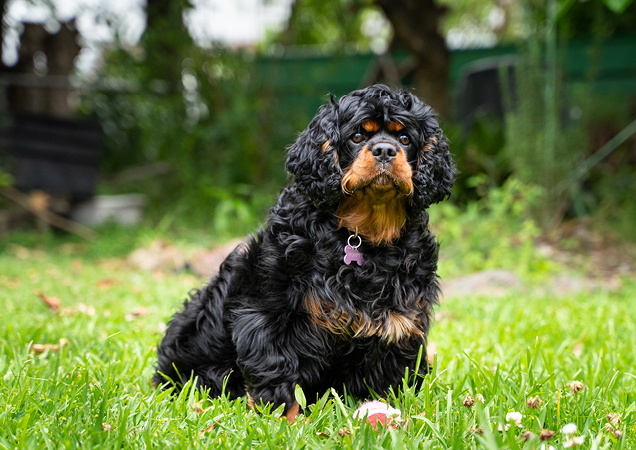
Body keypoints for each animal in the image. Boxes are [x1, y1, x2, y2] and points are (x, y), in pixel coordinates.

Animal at [154, 84, 455, 422]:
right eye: (357, 136)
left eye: (405, 139)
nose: (385, 151)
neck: (360, 236)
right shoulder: (270, 318)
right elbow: (278, 375)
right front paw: (284, 424)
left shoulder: (398, 323)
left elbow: (389, 380)